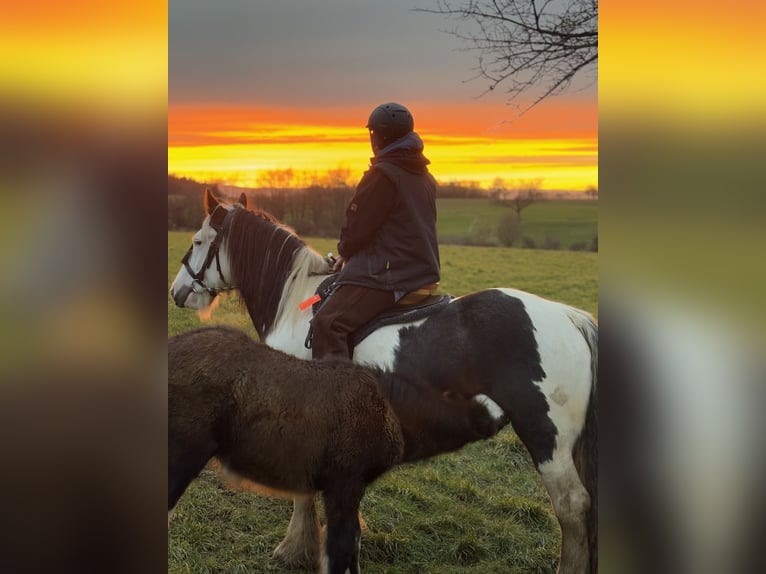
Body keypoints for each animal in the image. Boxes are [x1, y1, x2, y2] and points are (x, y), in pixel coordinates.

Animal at [170, 328, 504, 574]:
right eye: (468, 399)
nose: (502, 418)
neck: (391, 409)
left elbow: (349, 546)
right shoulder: (344, 486)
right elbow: (341, 550)